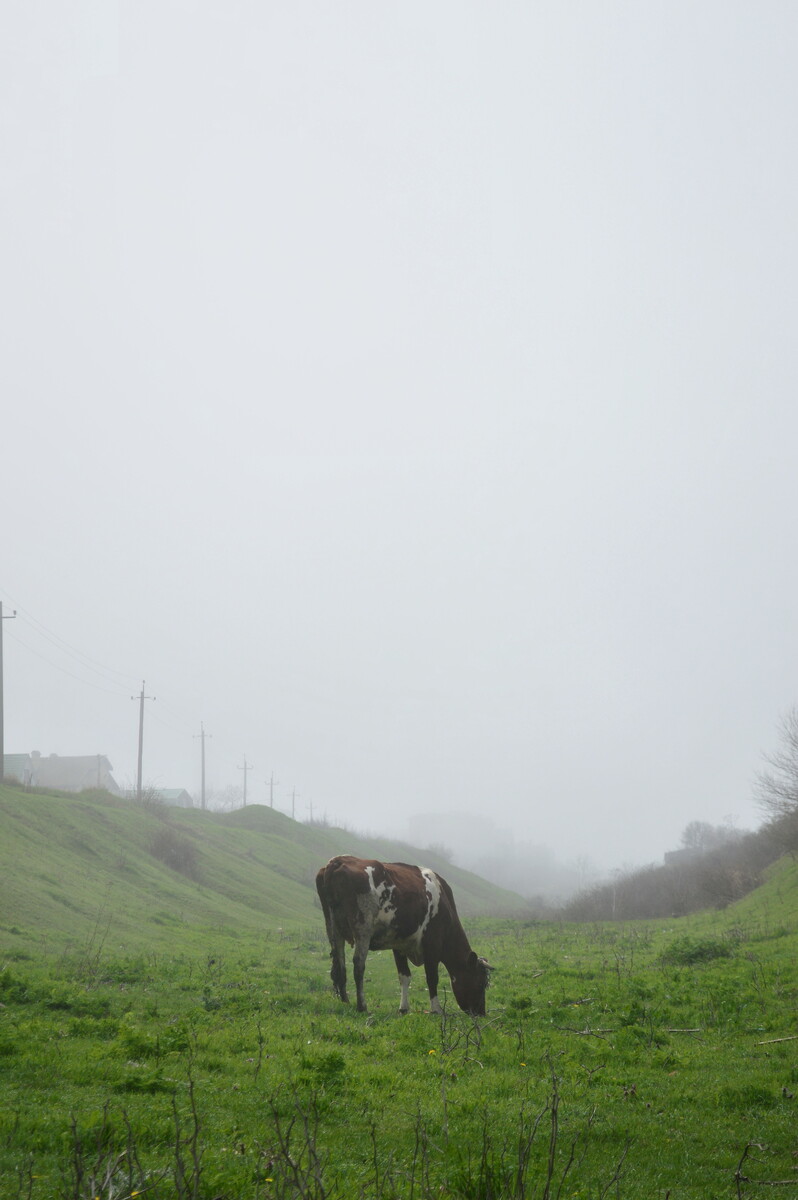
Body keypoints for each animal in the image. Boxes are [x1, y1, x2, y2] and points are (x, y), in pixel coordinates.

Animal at [314, 854, 489, 1012]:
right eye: (481, 983)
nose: (481, 1012)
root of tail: (337, 861)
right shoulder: (432, 944)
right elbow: (432, 977)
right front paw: (436, 1009)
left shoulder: (399, 943)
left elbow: (404, 976)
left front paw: (404, 1008)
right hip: (363, 927)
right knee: (358, 964)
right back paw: (362, 1006)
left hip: (333, 928)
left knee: (340, 965)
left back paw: (345, 1001)